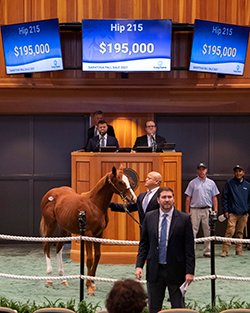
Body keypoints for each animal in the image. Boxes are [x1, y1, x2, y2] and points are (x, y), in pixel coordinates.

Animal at [40, 165, 136, 294]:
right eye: (120, 182)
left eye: (129, 181)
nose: (133, 199)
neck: (94, 205)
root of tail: (49, 194)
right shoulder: (88, 234)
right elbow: (90, 258)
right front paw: (89, 287)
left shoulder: (99, 234)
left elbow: (97, 256)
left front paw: (93, 283)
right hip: (50, 224)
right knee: (47, 245)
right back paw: (49, 280)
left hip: (64, 228)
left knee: (59, 247)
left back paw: (63, 280)